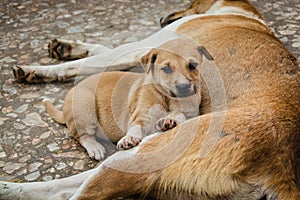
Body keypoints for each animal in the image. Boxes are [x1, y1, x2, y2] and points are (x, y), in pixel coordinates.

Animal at [44, 38, 213, 160]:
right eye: (166, 69)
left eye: (192, 65)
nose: (184, 87)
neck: (167, 98)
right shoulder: (140, 117)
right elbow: (135, 128)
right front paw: (128, 139)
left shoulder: (192, 114)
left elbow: (180, 115)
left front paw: (169, 120)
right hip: (84, 107)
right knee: (82, 135)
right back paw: (95, 148)